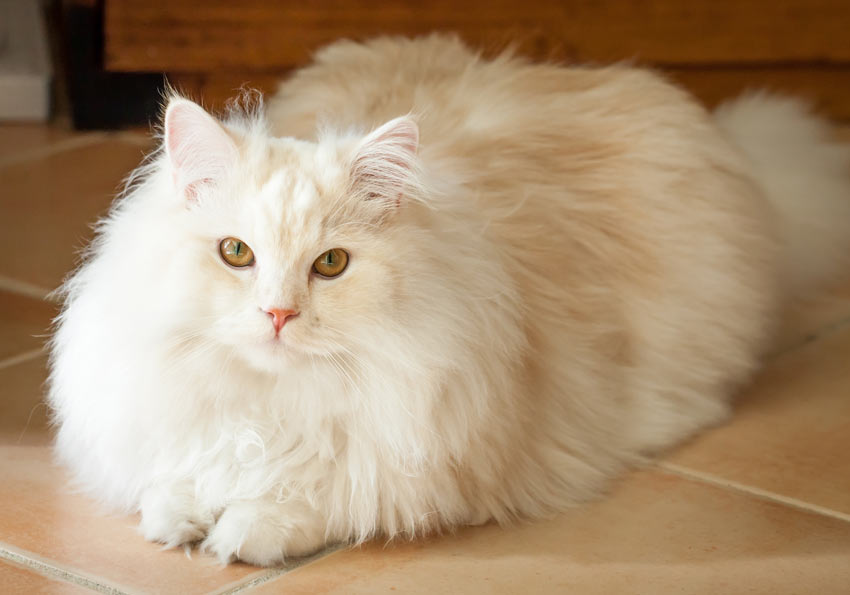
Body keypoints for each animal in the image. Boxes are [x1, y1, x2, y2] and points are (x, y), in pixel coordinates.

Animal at [48, 35, 848, 564]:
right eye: (236, 254)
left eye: (331, 265)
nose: (278, 315)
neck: (275, 400)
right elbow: (169, 481)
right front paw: (180, 515)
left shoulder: (426, 452)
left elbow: (319, 494)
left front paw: (244, 531)